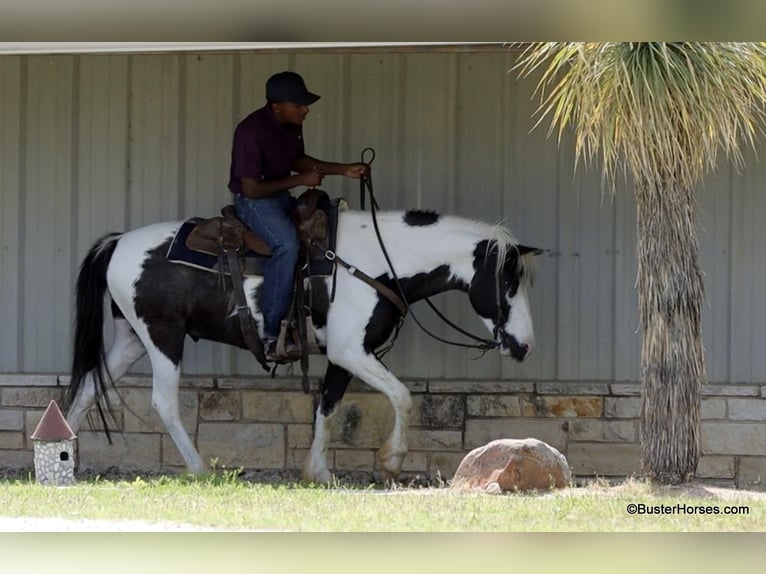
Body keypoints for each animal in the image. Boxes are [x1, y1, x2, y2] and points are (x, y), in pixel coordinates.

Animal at [64, 206, 540, 483]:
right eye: (508, 282)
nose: (525, 346)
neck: (377, 262)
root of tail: (118, 242)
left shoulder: (342, 358)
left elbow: (326, 407)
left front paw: (317, 471)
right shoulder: (351, 351)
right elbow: (403, 396)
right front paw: (391, 461)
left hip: (131, 339)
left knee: (87, 389)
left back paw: (62, 455)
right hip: (164, 336)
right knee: (162, 401)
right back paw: (199, 468)